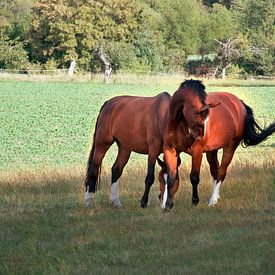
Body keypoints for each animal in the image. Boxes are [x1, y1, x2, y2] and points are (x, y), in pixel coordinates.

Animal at [163, 80, 275, 211]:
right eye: (197, 113)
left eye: (206, 115)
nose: (200, 136)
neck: (179, 123)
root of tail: (239, 103)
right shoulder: (170, 150)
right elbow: (171, 178)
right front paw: (168, 205)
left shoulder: (197, 151)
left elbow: (194, 177)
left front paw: (195, 201)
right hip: (212, 151)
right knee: (215, 172)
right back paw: (216, 197)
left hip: (230, 147)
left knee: (221, 172)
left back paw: (212, 201)